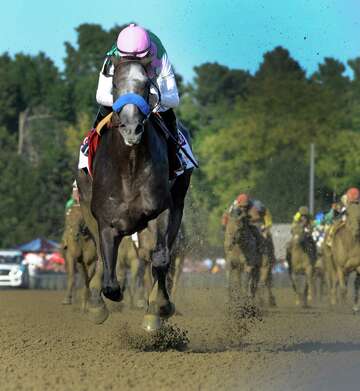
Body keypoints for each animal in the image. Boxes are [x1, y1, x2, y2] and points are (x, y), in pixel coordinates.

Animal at [77, 59, 193, 330]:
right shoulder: (107, 222)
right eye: (115, 85)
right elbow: (110, 280)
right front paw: (101, 304)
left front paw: (159, 308)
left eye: (146, 84)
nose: (132, 129)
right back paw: (96, 302)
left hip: (177, 205)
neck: (129, 165)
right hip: (87, 206)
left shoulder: (161, 211)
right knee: (103, 259)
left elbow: (160, 260)